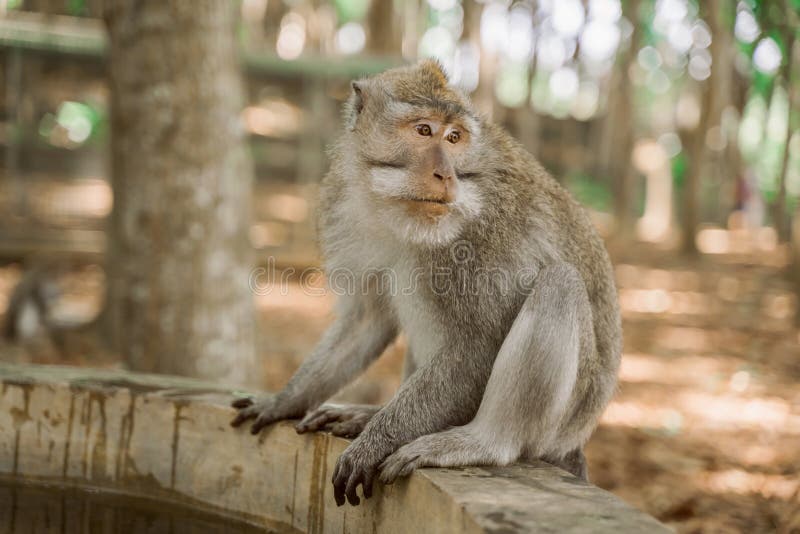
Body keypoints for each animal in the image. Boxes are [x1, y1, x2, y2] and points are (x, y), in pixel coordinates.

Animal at [228, 59, 620, 510]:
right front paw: (283, 401)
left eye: (454, 137)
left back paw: (483, 441)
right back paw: (370, 415)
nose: (445, 174)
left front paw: (373, 442)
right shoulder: (340, 203)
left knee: (559, 283)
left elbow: (477, 346)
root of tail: (577, 440)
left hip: (564, 420)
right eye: (423, 130)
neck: (392, 208)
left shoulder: (478, 236)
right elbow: (367, 320)